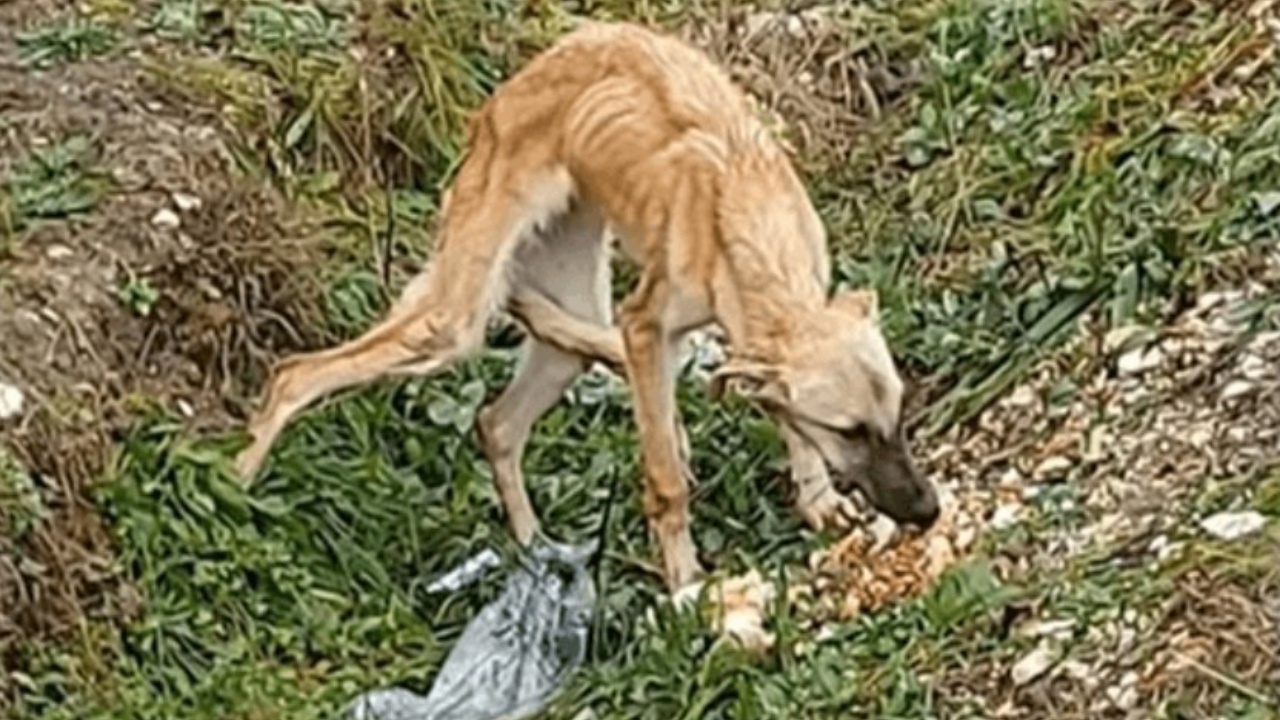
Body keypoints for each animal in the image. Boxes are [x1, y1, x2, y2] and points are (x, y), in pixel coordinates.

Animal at [232, 20, 942, 594]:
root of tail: (498, 101)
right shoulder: (646, 324)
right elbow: (665, 478)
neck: (746, 206)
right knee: (295, 374)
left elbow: (781, 415)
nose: (928, 511)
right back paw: (232, 483)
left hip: (559, 324)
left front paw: (815, 499)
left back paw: (535, 556)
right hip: (451, 321)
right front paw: (685, 582)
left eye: (900, 414)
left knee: (497, 425)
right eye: (850, 431)